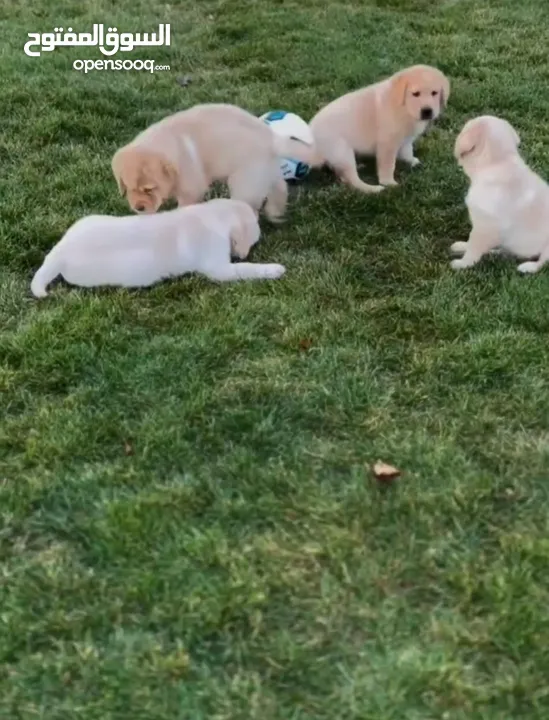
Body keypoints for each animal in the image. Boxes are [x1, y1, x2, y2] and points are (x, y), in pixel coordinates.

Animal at [31, 197, 284, 296]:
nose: (243, 253)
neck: (214, 215)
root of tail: (60, 252)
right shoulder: (219, 268)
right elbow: (247, 269)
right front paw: (273, 269)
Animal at [111, 103, 312, 222]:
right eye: (128, 188)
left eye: (149, 189)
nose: (138, 208)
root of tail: (271, 136)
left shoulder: (191, 188)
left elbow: (185, 205)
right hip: (266, 171)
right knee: (280, 187)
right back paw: (275, 213)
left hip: (245, 181)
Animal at [308, 64, 450, 193]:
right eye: (415, 94)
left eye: (434, 93)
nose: (427, 111)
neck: (404, 107)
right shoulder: (388, 143)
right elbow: (388, 165)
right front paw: (389, 183)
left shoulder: (406, 138)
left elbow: (407, 151)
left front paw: (411, 161)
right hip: (341, 151)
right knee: (351, 179)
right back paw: (373, 189)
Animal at [448, 116, 548, 274]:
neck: (500, 162)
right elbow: (471, 242)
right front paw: (463, 246)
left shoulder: (484, 227)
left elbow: (473, 248)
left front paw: (463, 264)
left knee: (542, 262)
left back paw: (528, 267)